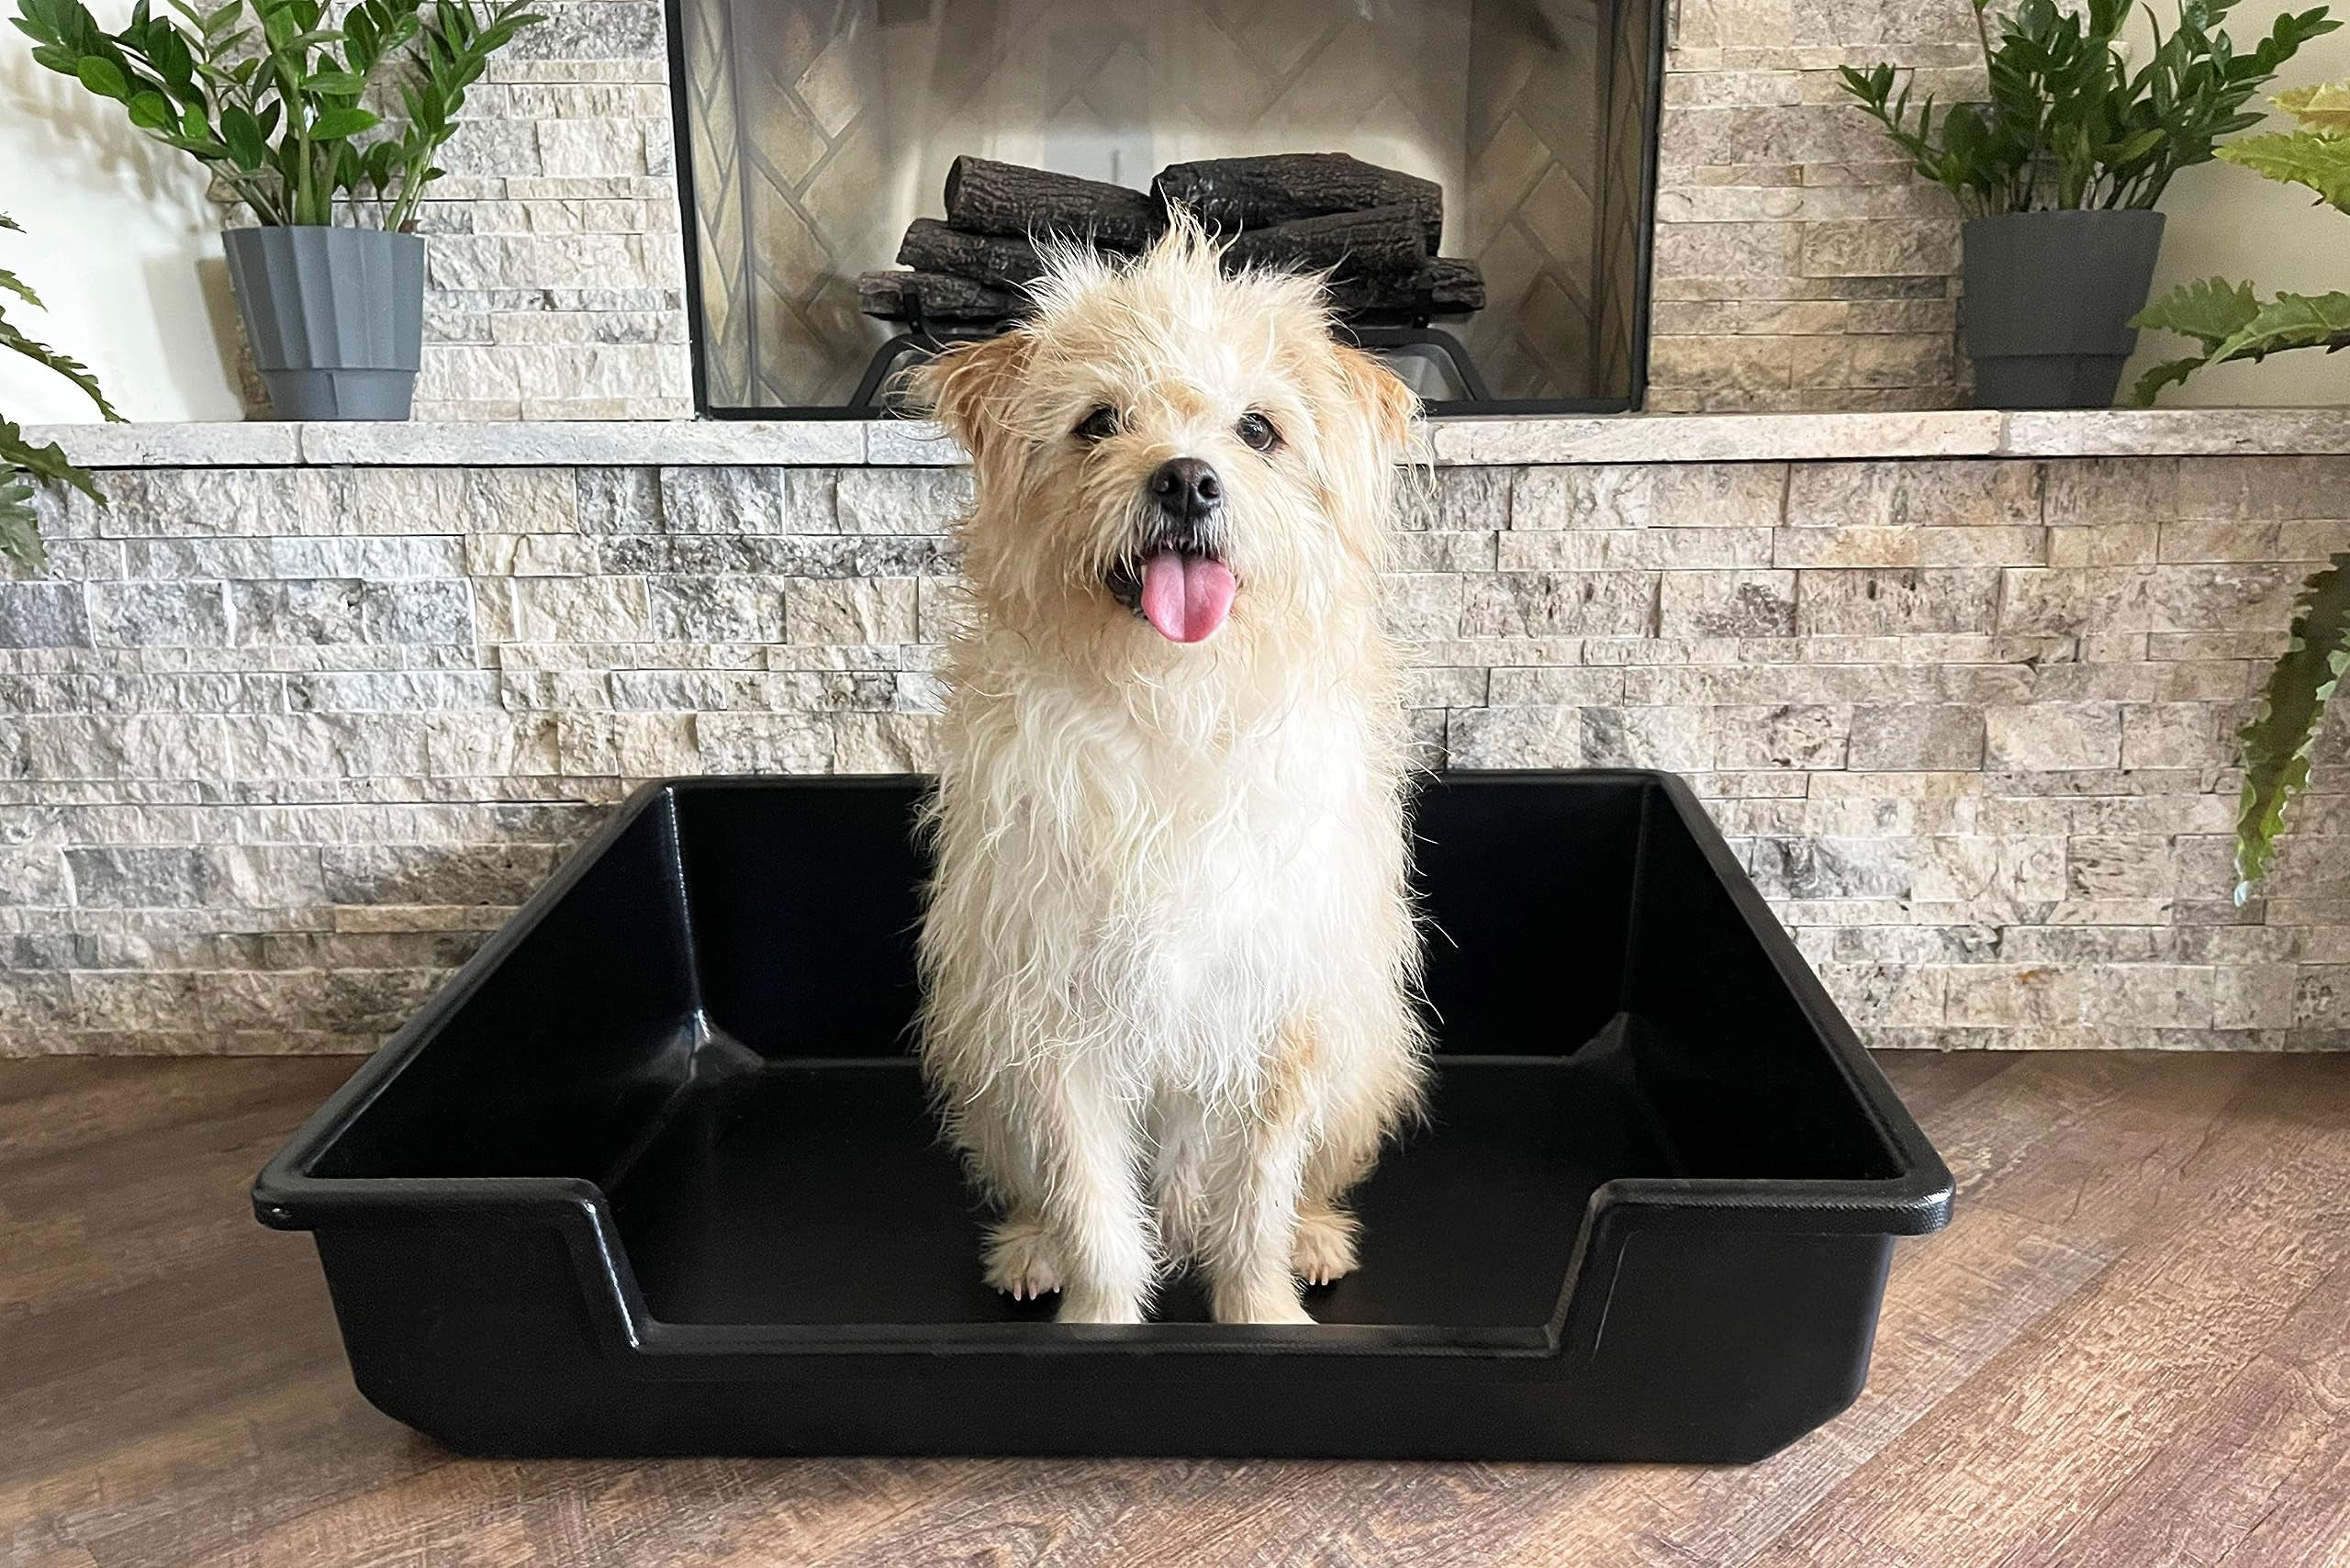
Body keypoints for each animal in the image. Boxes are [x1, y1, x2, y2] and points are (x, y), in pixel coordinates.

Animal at [912, 217, 1428, 1326]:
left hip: (1364, 1058)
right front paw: (1098, 1321)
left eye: (1259, 430)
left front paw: (1262, 1312)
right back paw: (1031, 1249)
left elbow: (1258, 1198)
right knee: (1041, 1191)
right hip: (981, 1063)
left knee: (1301, 1185)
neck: (1175, 710)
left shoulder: (1286, 1019)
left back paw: (1314, 1237)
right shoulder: (1051, 1021)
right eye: (1098, 422)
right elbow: (1095, 1207)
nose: (1186, 479)